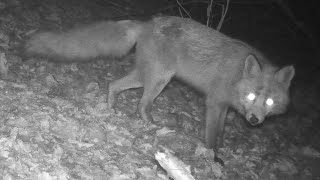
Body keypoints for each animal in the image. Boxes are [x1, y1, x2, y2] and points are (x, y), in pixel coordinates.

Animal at [24, 15, 296, 153]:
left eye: (269, 101)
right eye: (251, 96)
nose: (254, 120)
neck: (236, 75)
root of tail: (147, 23)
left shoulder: (226, 107)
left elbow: (220, 133)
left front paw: (219, 153)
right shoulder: (215, 102)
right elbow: (210, 137)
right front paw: (212, 158)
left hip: (145, 76)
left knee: (114, 85)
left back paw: (111, 110)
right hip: (158, 80)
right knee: (141, 105)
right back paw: (150, 126)